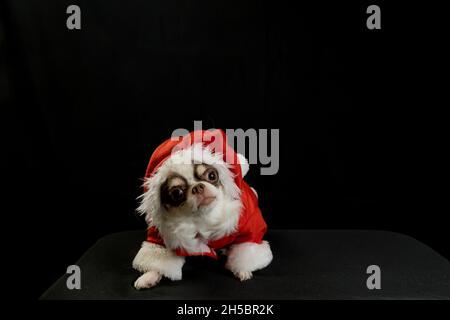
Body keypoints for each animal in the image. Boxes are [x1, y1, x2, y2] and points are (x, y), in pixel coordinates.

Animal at [132, 129, 272, 290]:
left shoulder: (249, 226)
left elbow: (246, 249)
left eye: (211, 175)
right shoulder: (162, 235)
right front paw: (149, 276)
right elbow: (160, 258)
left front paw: (242, 269)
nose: (198, 187)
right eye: (176, 193)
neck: (203, 218)